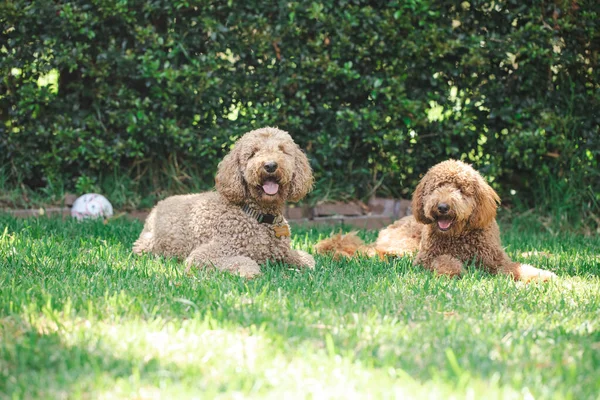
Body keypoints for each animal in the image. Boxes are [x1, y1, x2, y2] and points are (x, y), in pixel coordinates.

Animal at [134, 128, 316, 278]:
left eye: (282, 150)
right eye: (253, 153)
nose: (270, 165)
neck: (257, 216)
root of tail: (158, 205)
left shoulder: (283, 251)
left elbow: (308, 259)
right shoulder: (204, 255)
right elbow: (243, 260)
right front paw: (249, 272)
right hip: (148, 246)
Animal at [316, 158, 556, 282]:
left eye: (461, 189)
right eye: (436, 187)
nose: (442, 207)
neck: (459, 236)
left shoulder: (495, 260)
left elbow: (517, 267)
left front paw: (541, 275)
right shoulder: (426, 258)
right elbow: (443, 260)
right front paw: (451, 271)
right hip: (405, 245)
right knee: (374, 252)